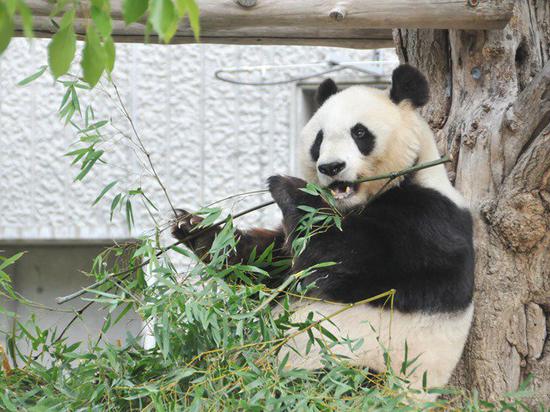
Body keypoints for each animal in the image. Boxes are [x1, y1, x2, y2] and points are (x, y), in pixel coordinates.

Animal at [175, 63, 476, 396]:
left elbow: (336, 254)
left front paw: (287, 185)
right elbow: (268, 264)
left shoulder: (427, 222)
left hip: (364, 372)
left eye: (360, 133)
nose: (331, 167)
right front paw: (191, 226)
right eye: (318, 140)